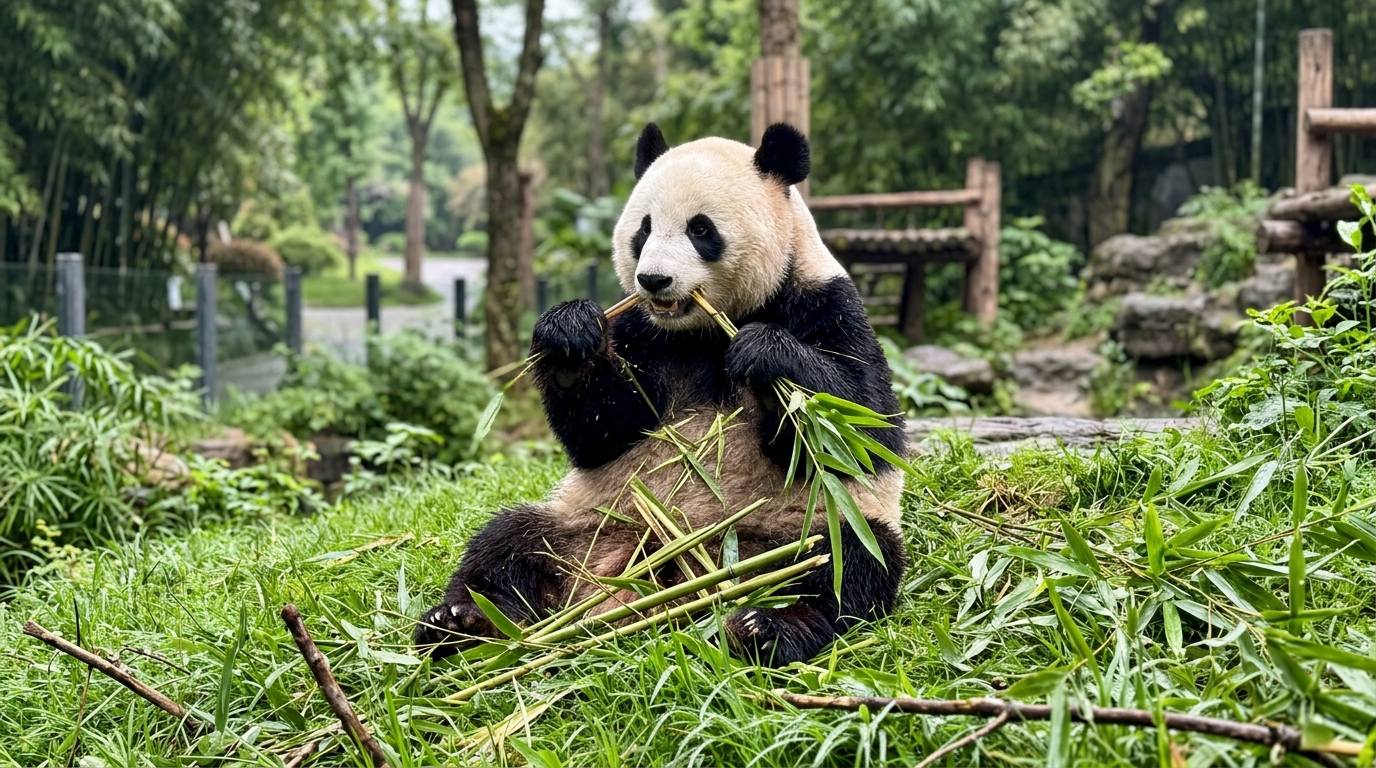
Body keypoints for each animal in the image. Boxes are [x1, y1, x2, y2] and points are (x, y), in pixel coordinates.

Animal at [415, 123, 908, 667]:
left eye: (701, 230)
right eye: (644, 228)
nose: (653, 279)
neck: (699, 331)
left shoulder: (826, 302)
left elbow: (861, 427)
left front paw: (764, 353)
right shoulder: (640, 331)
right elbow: (605, 432)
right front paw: (568, 336)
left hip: (810, 524)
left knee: (845, 565)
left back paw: (765, 628)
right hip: (585, 521)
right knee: (507, 544)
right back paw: (462, 623)